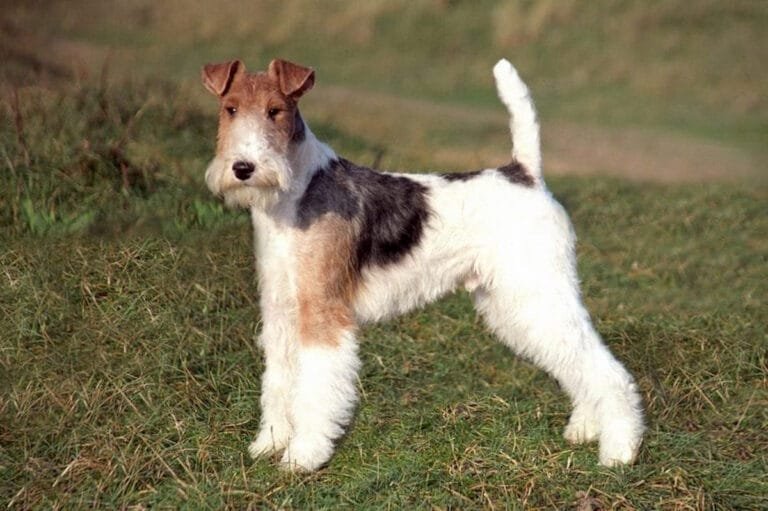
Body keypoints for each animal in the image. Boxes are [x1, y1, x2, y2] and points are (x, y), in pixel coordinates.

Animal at [198, 59, 640, 472]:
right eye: (230, 108)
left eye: (275, 110)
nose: (243, 168)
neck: (296, 191)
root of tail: (524, 173)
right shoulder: (281, 312)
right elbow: (279, 382)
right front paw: (269, 442)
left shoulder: (324, 312)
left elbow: (315, 389)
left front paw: (303, 455)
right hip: (513, 304)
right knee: (574, 364)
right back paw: (585, 428)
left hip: (540, 294)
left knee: (605, 370)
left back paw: (619, 450)